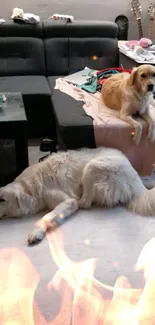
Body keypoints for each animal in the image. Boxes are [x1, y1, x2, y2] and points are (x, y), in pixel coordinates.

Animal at [0, 147, 154, 243]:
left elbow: (47, 216)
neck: (30, 187)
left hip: (92, 167)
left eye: (2, 199)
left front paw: (36, 232)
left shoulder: (67, 202)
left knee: (85, 203)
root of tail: (137, 182)